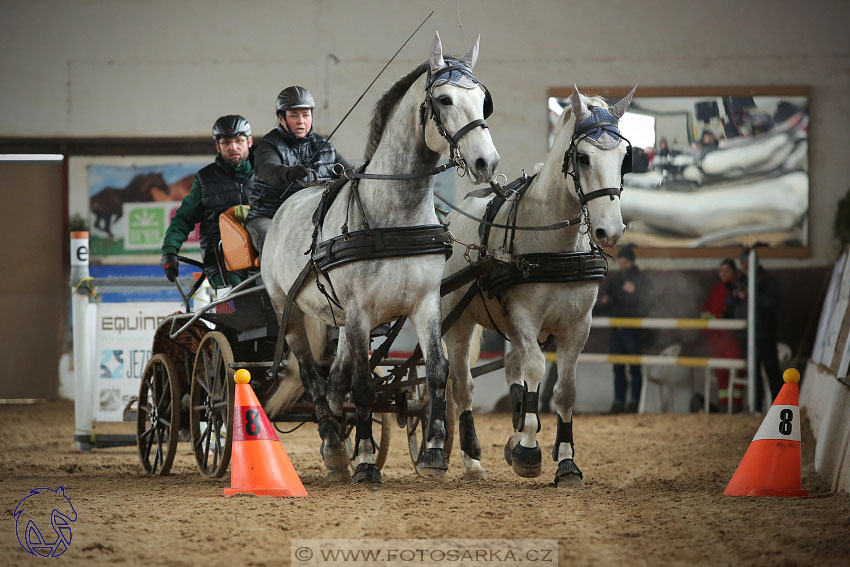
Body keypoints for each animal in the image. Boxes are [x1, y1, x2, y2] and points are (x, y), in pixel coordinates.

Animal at [262, 33, 500, 488]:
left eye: (483, 99)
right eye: (444, 99)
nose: (487, 163)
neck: (395, 216)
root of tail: (285, 208)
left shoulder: (423, 303)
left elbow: (437, 370)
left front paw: (434, 453)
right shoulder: (360, 311)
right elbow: (363, 386)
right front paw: (368, 460)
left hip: (337, 317)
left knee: (335, 381)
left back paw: (338, 446)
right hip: (291, 312)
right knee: (314, 378)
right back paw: (336, 446)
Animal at [440, 86, 632, 486]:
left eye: (625, 157)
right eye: (583, 157)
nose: (609, 231)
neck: (557, 244)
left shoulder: (578, 326)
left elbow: (565, 389)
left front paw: (566, 460)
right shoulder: (525, 318)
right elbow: (536, 369)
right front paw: (528, 450)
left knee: (513, 372)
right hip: (459, 323)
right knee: (462, 386)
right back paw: (472, 459)